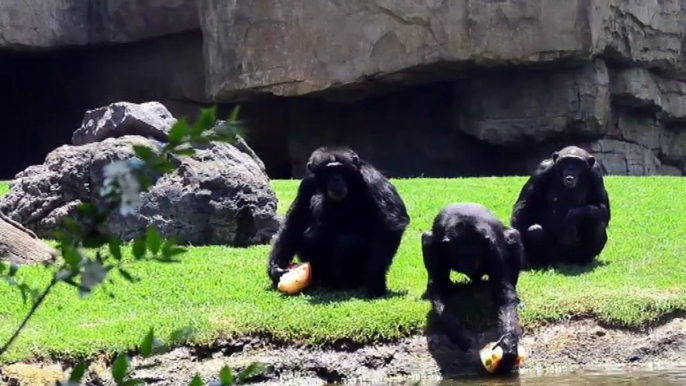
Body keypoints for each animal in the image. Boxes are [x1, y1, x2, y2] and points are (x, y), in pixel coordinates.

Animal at [268, 146, 408, 298]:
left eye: (341, 170)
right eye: (328, 171)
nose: (336, 179)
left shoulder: (372, 178)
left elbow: (391, 220)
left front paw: (375, 280)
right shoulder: (307, 182)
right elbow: (295, 221)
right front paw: (276, 269)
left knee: (349, 243)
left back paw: (344, 282)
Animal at [422, 202, 524, 374]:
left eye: (474, 251)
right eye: (461, 252)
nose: (468, 261)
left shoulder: (494, 247)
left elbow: (503, 290)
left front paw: (509, 344)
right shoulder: (438, 248)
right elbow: (436, 287)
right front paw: (459, 334)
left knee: (513, 235)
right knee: (426, 239)